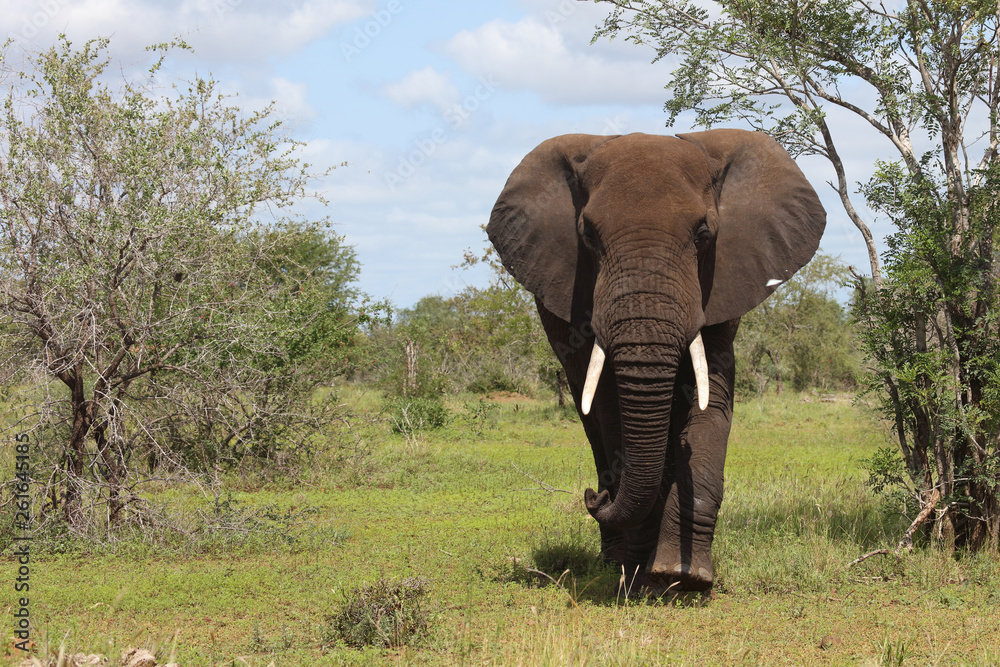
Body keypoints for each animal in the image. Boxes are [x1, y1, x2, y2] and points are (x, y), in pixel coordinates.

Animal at [487, 130, 825, 592]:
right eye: (588, 235)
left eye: (703, 234)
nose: (594, 497)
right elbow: (611, 411)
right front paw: (642, 575)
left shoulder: (720, 286)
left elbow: (710, 400)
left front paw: (684, 576)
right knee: (593, 423)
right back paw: (616, 558)